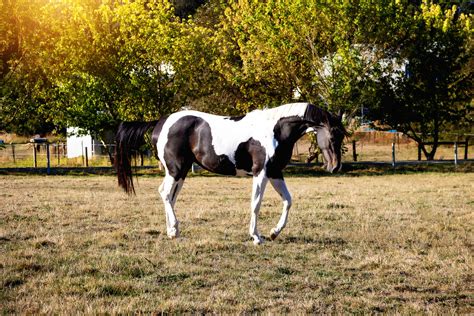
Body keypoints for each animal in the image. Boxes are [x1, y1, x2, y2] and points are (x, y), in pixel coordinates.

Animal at [114, 102, 344, 246]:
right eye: (333, 136)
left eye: (342, 135)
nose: (335, 167)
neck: (276, 130)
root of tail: (160, 122)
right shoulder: (260, 173)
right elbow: (256, 204)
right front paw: (256, 237)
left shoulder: (275, 172)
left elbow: (288, 201)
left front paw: (274, 232)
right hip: (176, 169)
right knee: (164, 193)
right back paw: (174, 230)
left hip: (181, 171)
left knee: (170, 196)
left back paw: (172, 231)